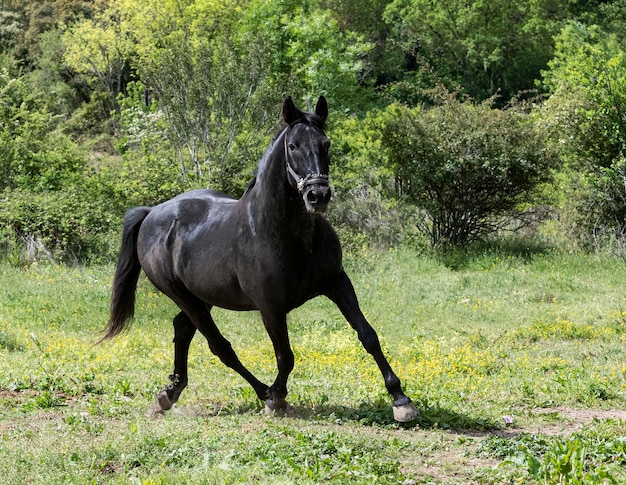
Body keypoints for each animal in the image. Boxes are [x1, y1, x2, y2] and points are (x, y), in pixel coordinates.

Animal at [101, 96, 420, 422]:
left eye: (326, 143)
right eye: (292, 145)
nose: (317, 196)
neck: (284, 233)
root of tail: (152, 213)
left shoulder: (337, 283)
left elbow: (368, 335)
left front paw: (401, 400)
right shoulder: (270, 306)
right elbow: (285, 355)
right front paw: (277, 397)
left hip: (202, 296)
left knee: (183, 329)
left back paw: (170, 392)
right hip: (183, 296)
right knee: (220, 346)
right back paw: (261, 392)